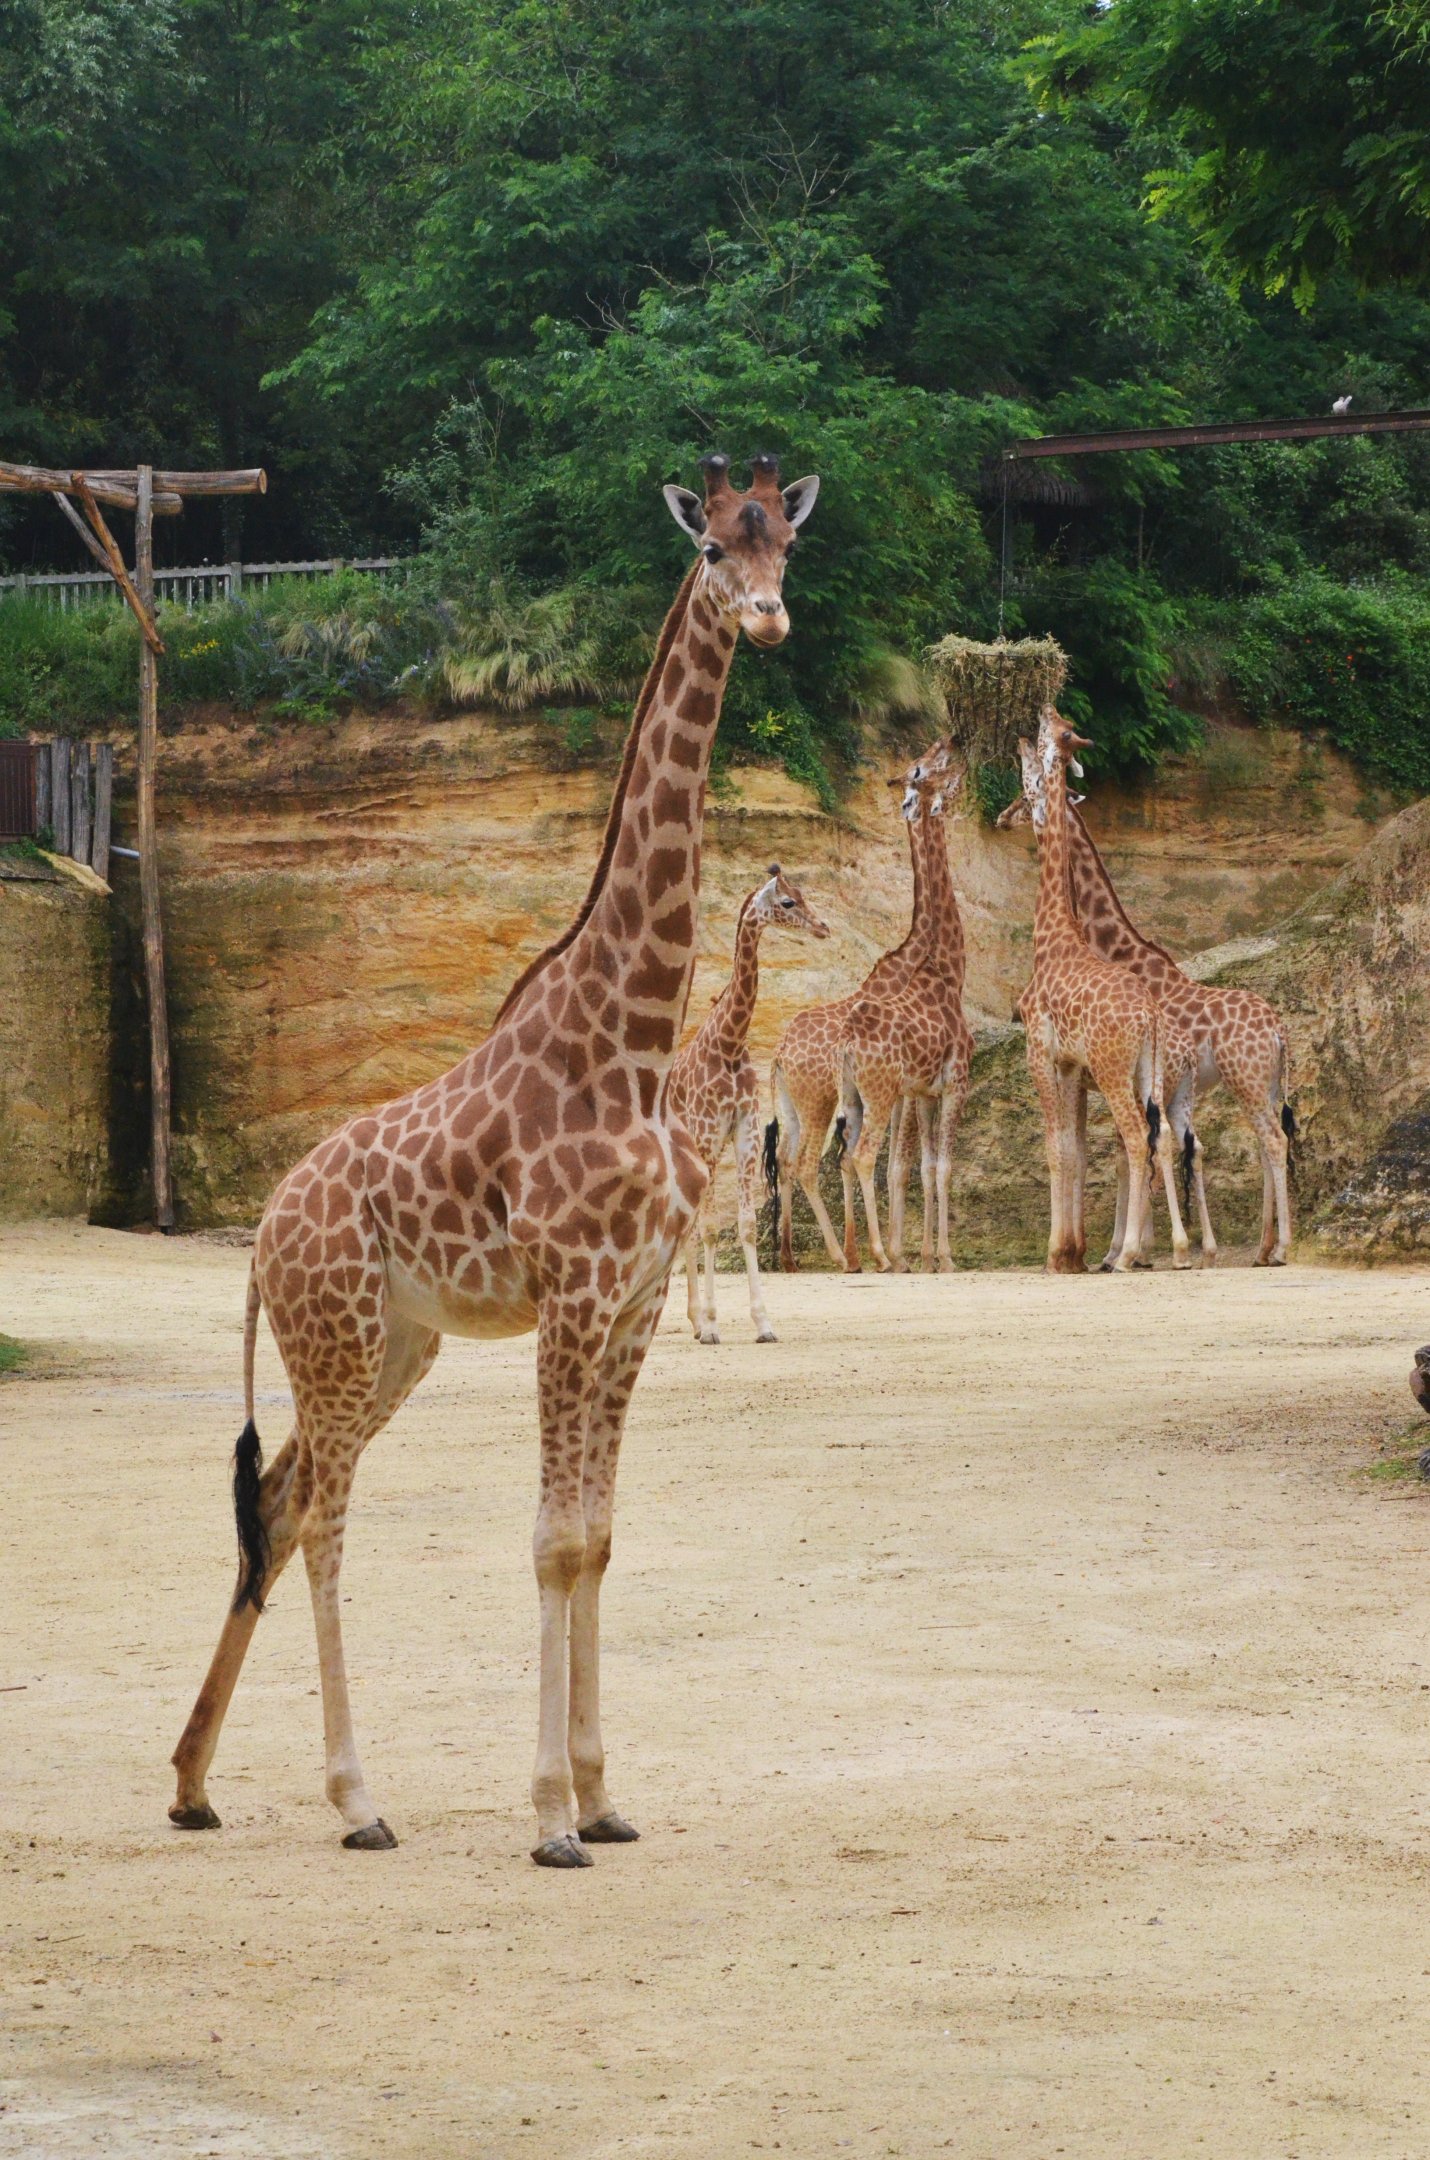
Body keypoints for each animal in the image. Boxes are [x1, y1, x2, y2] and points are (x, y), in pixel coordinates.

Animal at [668, 865, 829, 1344]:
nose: (823, 927)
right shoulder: (706, 1136)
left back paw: (691, 1317)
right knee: (684, 1226)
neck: (729, 1042)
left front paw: (762, 1322)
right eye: (789, 902)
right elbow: (707, 1230)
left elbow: (746, 1225)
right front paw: (712, 1324)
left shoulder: (746, 1132)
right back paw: (695, 1320)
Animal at [835, 751, 974, 1274]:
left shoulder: (923, 1091)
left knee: (843, 1157)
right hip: (878, 1093)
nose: (955, 755)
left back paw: (855, 1255)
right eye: (928, 771)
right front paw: (943, 1258)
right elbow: (939, 1166)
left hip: (857, 1096)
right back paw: (878, 1255)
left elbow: (923, 1166)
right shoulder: (954, 1083)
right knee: (862, 1156)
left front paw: (927, 1255)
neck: (947, 969)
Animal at [999, 769, 1295, 1265]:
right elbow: (1123, 1152)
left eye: (1025, 796)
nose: (1001, 818)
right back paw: (1262, 1247)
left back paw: (1275, 1247)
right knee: (1262, 1144)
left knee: (1268, 1141)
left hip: (1243, 1081)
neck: (1116, 950)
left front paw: (1128, 1249)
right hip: (1263, 1085)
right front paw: (1129, 1247)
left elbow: (1126, 1150)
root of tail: (1278, 1030)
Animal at [1018, 707, 1190, 1273]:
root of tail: (1151, 1017)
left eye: (1053, 734)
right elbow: (1073, 1150)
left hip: (1118, 1070)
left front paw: (1057, 1255)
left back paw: (1129, 1253)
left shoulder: (1039, 1050)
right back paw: (1176, 1249)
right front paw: (1071, 1252)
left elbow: (1055, 1148)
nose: (1039, 715)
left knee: (1139, 1139)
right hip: (1146, 1073)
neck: (1053, 930)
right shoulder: (1072, 1064)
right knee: (1160, 1139)